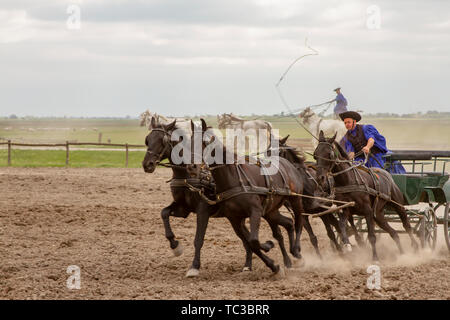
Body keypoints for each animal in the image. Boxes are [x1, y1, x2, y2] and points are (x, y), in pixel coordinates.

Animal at [141, 117, 274, 278]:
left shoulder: (202, 210)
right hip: (237, 217)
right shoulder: (183, 209)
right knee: (246, 239)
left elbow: (198, 239)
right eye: (148, 139)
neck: (188, 177)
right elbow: (164, 213)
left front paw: (194, 267)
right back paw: (248, 265)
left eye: (163, 140)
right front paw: (175, 246)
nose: (147, 164)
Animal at [186, 118, 310, 276]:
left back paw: (296, 251)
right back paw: (288, 260)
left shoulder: (255, 211)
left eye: (205, 142)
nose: (192, 167)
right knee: (288, 223)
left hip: (295, 200)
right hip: (270, 211)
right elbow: (249, 243)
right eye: (190, 141)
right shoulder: (233, 218)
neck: (232, 178)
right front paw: (273, 264)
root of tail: (289, 165)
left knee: (299, 221)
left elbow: (253, 241)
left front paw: (268, 248)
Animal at [312, 130, 418, 262]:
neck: (348, 181)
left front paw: (375, 257)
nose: (320, 178)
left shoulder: (367, 211)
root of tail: (387, 174)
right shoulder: (345, 210)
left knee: (406, 225)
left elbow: (372, 236)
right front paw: (347, 244)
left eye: (329, 154)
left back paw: (415, 246)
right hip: (378, 214)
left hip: (397, 205)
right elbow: (342, 226)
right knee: (394, 233)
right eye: (315, 154)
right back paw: (402, 254)